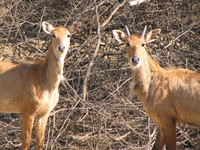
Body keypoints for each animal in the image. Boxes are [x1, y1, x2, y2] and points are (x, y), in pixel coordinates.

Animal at [0, 21, 80, 149]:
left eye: (68, 35)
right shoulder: (27, 109)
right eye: (53, 35)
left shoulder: (45, 112)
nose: (61, 47)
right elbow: (26, 142)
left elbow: (41, 141)